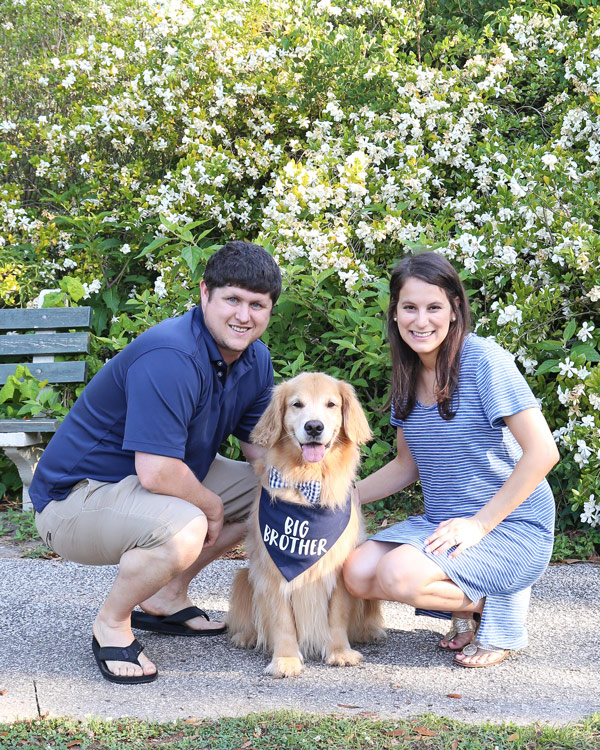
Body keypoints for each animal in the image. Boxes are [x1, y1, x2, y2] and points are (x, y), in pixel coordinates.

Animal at [227, 374, 386, 680]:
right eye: (296, 404)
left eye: (331, 404)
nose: (314, 426)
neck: (308, 483)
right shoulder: (272, 573)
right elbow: (282, 622)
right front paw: (285, 660)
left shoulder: (338, 568)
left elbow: (337, 616)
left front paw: (339, 652)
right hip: (243, 576)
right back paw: (247, 636)